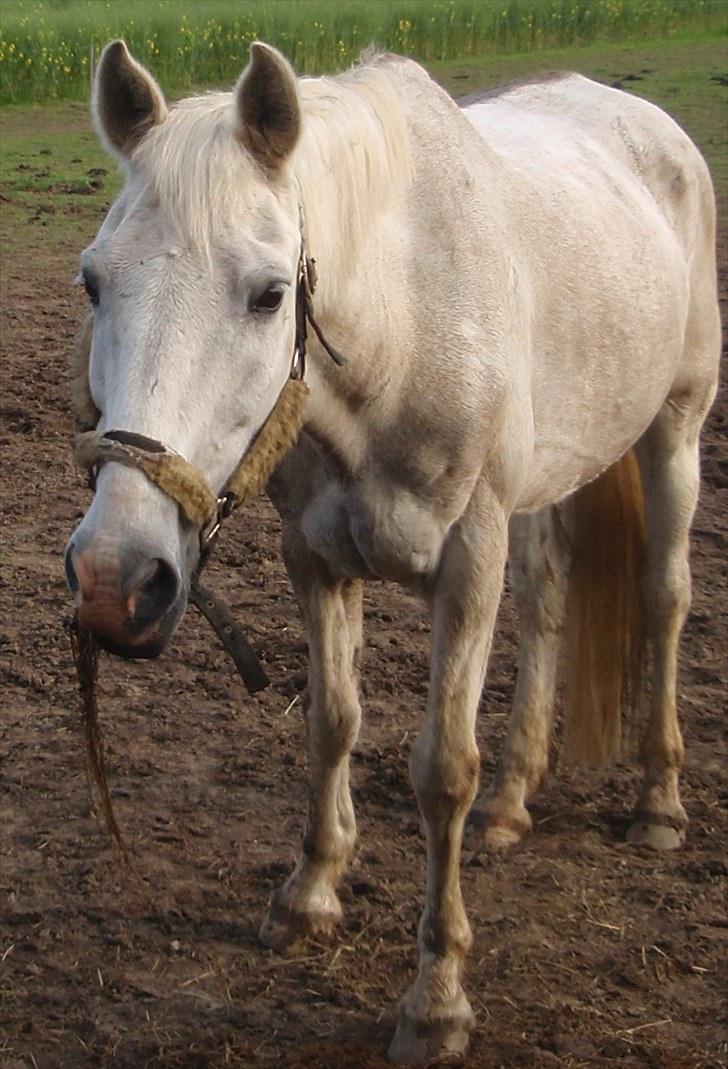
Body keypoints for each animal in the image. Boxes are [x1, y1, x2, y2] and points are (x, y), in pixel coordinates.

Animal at [65, 37, 718, 1064]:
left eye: (269, 294)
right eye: (94, 281)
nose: (113, 579)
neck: (403, 330)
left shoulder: (468, 562)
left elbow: (442, 769)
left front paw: (437, 998)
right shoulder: (315, 557)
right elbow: (331, 722)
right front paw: (308, 896)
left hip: (674, 434)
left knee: (664, 597)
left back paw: (658, 801)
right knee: (548, 599)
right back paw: (514, 799)